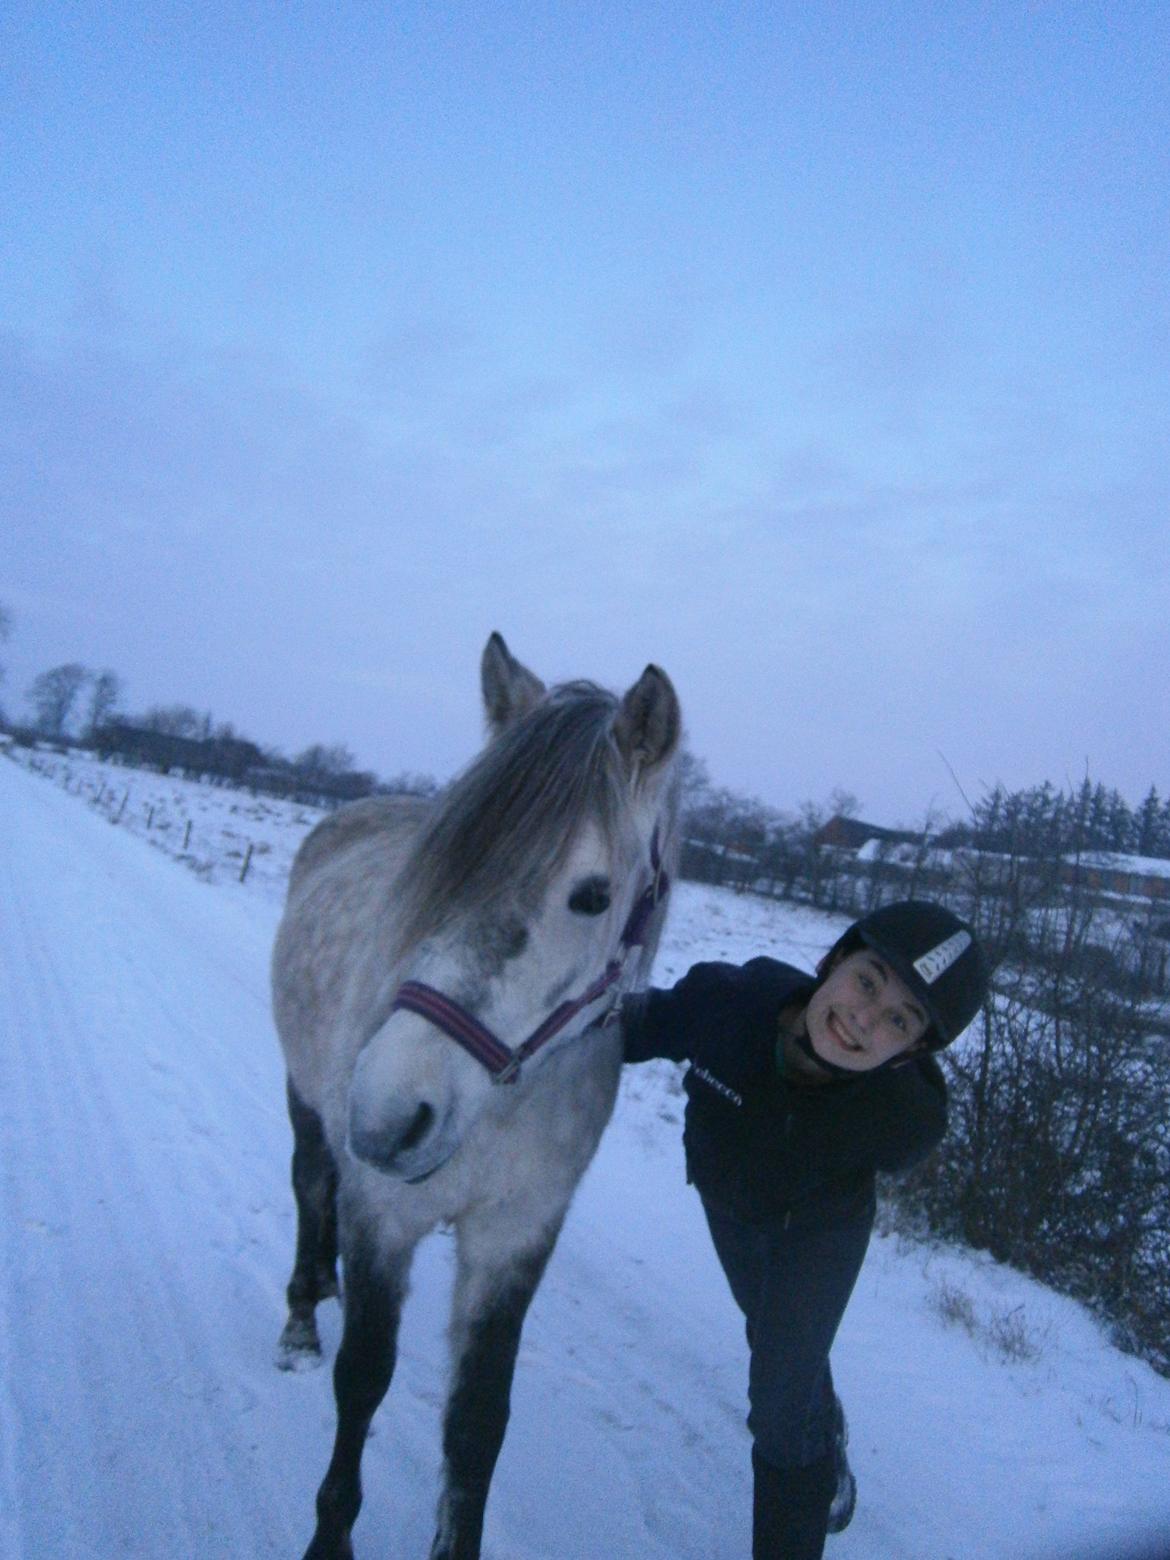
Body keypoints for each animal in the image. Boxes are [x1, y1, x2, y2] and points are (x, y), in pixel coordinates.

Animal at [271, 633, 683, 1560]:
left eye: (594, 895)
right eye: (443, 868)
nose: (388, 1114)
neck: (500, 1107)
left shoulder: (515, 1237)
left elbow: (477, 1424)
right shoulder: (383, 1214)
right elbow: (363, 1379)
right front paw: (329, 1536)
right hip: (307, 1098)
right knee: (311, 1186)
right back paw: (303, 1315)